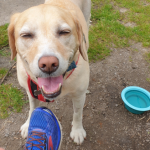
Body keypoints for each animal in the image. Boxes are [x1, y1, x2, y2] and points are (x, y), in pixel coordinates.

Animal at [8, 0, 91, 145]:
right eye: (26, 35)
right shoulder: (31, 91)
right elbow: (32, 108)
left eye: (64, 32)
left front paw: (77, 130)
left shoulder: (78, 95)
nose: (48, 64)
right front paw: (29, 125)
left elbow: (77, 113)